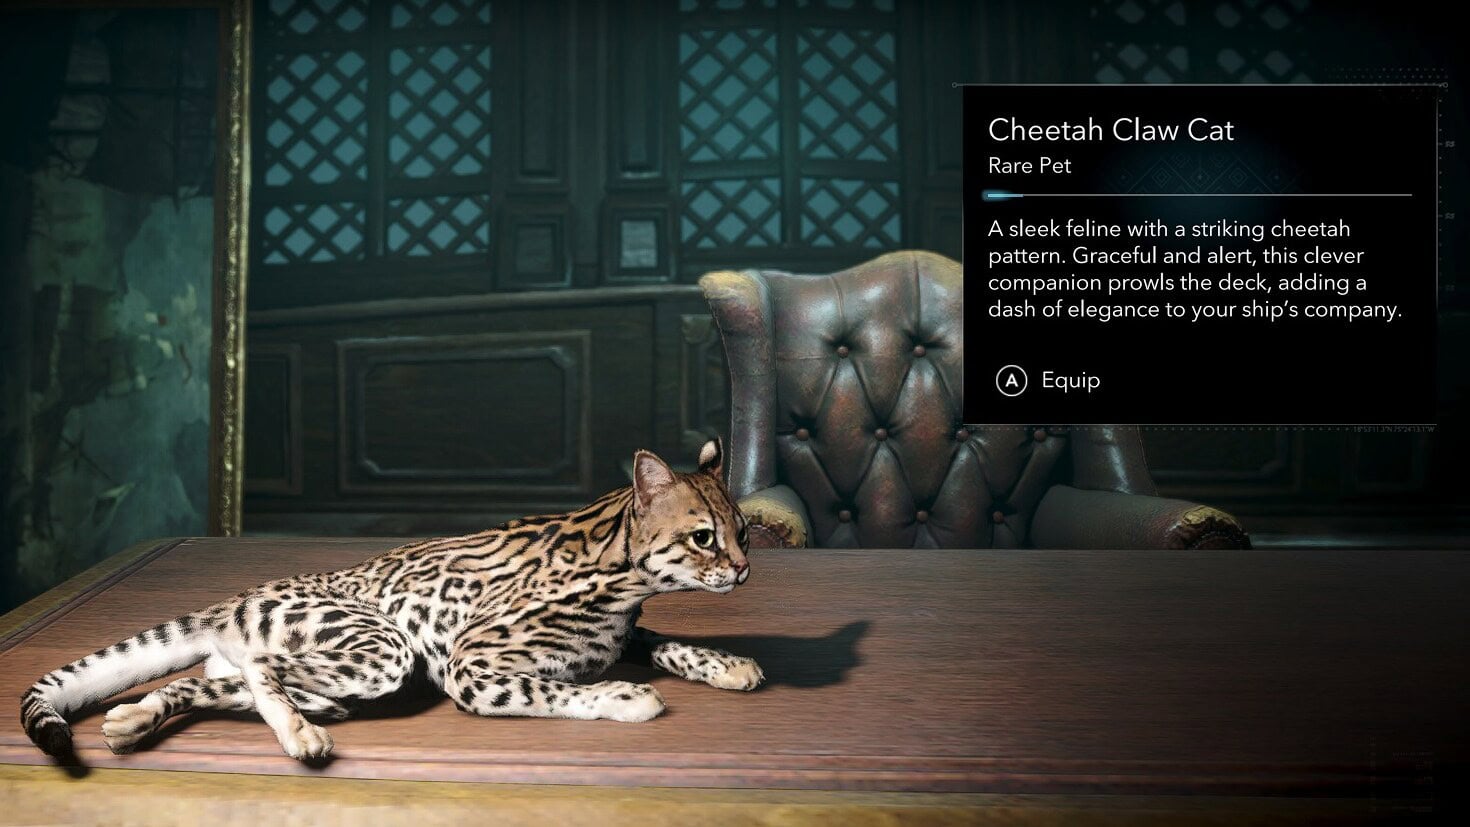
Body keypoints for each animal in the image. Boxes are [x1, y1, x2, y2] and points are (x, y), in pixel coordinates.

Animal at [21, 439, 761, 761]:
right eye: (704, 536)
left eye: (744, 530)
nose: (744, 569)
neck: (613, 574)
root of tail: (236, 596)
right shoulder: (470, 668)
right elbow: (557, 690)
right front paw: (621, 695)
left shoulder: (624, 631)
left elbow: (661, 640)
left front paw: (724, 662)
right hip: (382, 651)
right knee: (263, 670)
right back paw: (297, 732)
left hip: (341, 677)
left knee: (198, 686)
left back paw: (138, 716)